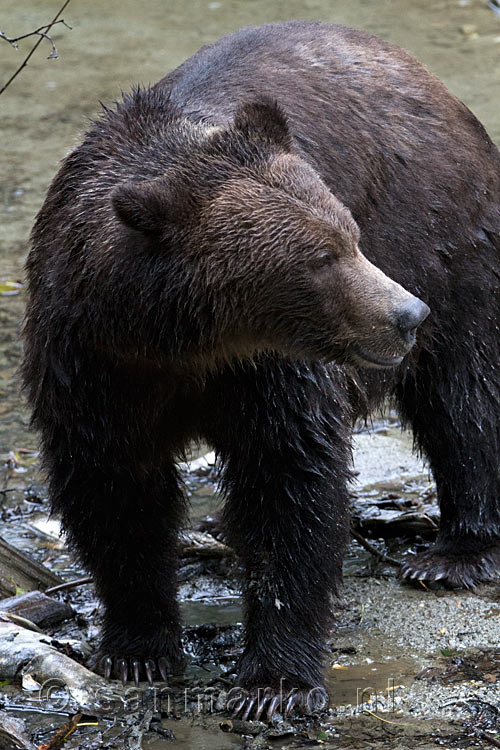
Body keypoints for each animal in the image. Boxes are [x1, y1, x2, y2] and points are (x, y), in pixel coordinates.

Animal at [23, 20, 500, 720]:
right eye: (321, 257)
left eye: (352, 235)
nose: (407, 314)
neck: (177, 339)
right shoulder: (91, 362)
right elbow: (113, 485)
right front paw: (138, 649)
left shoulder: (266, 370)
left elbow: (288, 482)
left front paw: (274, 683)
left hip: (448, 237)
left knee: (464, 398)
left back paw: (454, 554)